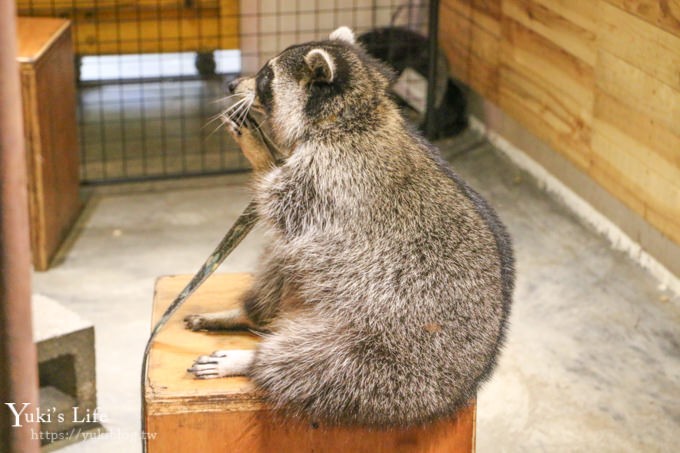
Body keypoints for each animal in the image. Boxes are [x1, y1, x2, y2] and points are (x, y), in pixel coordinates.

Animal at [183, 26, 512, 430]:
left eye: (266, 77)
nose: (232, 84)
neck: (353, 113)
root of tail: (467, 382)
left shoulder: (334, 174)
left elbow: (281, 204)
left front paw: (260, 152)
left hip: (390, 353)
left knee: (320, 363)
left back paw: (252, 360)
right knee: (285, 261)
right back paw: (249, 313)